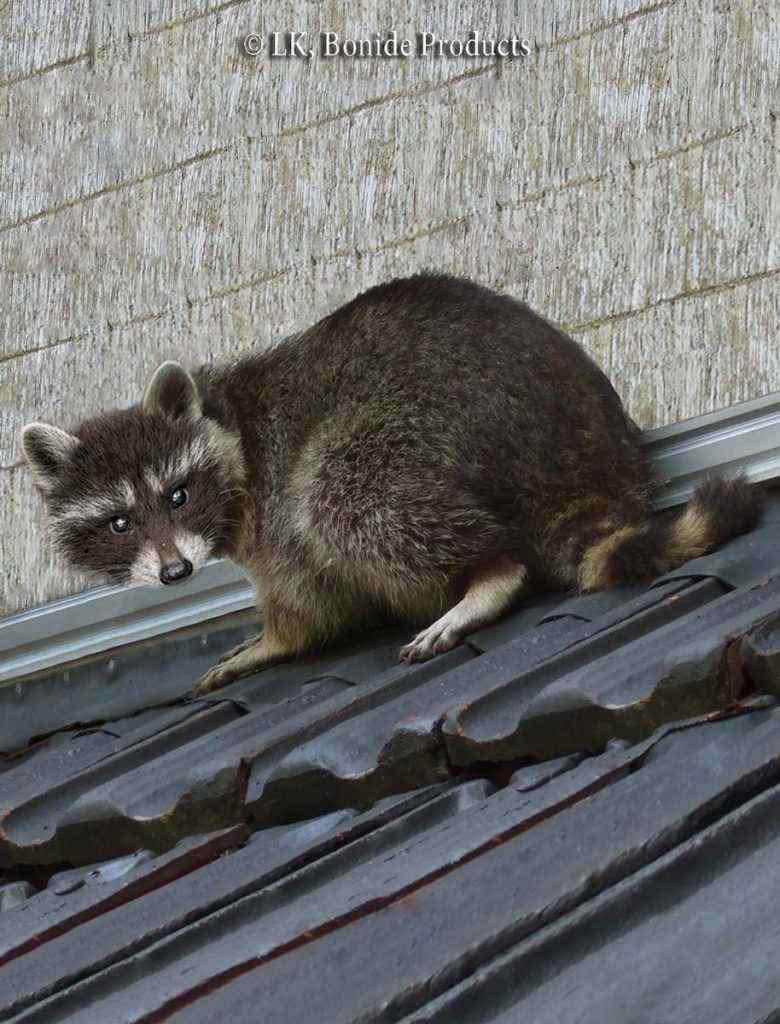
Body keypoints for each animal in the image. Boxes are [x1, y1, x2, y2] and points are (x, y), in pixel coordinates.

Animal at [21, 274, 763, 695]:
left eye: (177, 495)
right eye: (119, 522)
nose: (175, 572)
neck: (226, 419)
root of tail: (577, 447)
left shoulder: (269, 507)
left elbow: (307, 600)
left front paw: (275, 638)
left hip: (423, 422)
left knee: (340, 497)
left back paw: (488, 573)